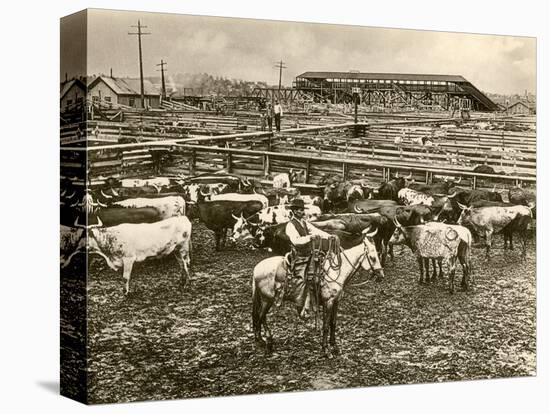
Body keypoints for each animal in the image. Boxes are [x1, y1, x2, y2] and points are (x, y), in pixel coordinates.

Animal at [251, 226, 384, 360]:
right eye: (372, 257)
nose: (381, 275)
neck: (335, 273)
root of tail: (256, 268)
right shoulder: (328, 302)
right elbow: (325, 325)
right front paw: (326, 350)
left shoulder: (336, 301)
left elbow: (333, 323)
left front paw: (335, 347)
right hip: (267, 299)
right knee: (261, 316)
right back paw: (268, 342)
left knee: (258, 316)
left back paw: (261, 340)